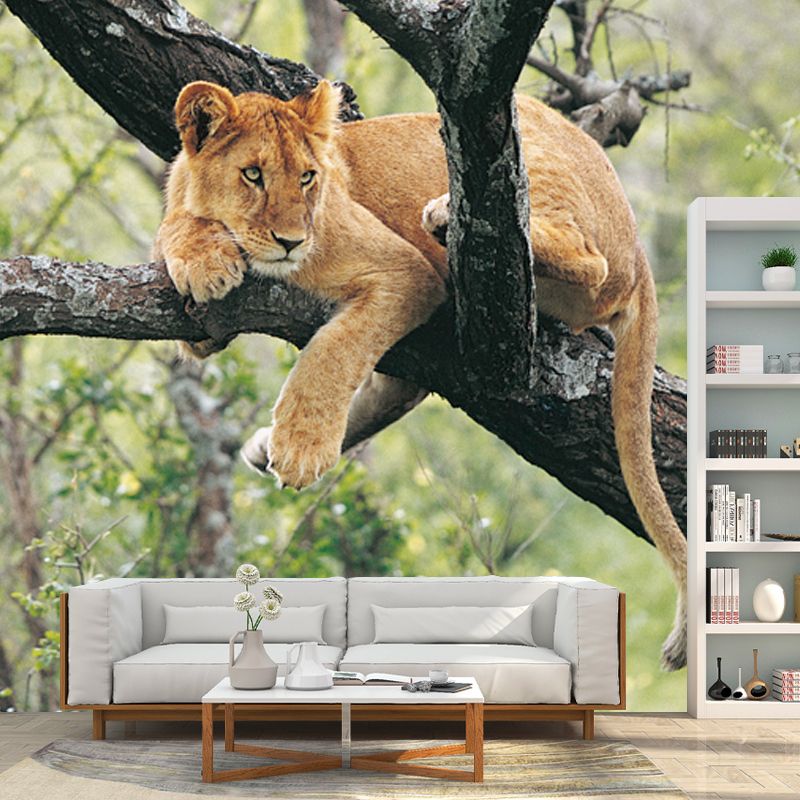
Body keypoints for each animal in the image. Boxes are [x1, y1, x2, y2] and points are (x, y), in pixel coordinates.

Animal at [154, 80, 687, 670]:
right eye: (252, 174)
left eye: (308, 178)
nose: (292, 239)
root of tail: (637, 249)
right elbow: (175, 238)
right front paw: (203, 259)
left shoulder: (405, 271)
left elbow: (334, 349)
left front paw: (301, 447)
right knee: (397, 389)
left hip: (525, 150)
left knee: (585, 259)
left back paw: (445, 214)